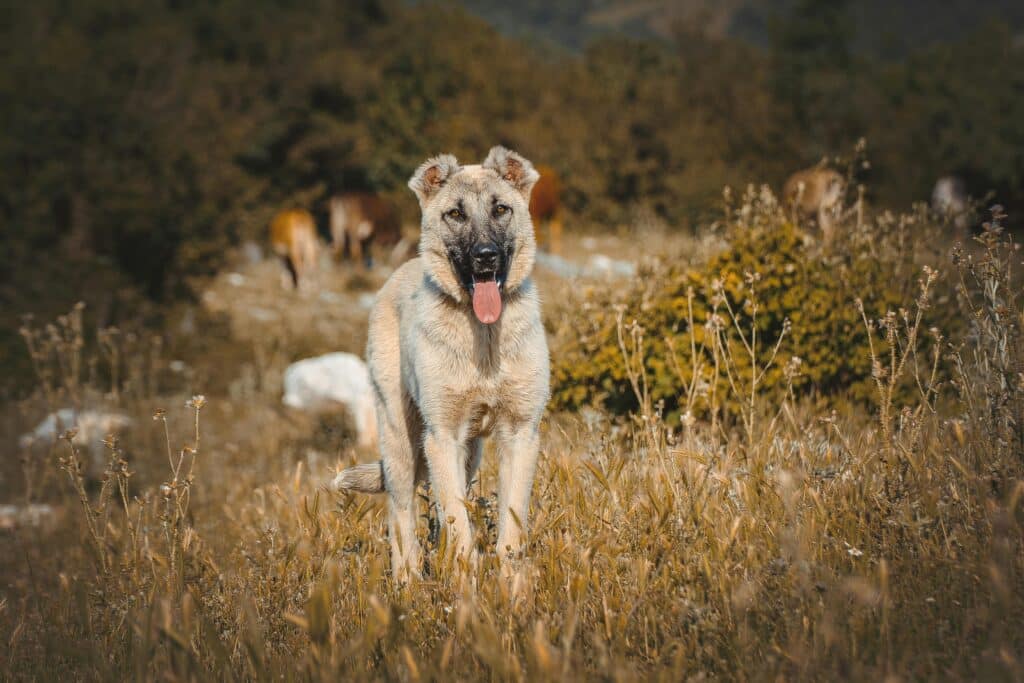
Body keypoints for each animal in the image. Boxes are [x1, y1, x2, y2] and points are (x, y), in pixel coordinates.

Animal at [331, 147, 548, 581]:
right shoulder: (442, 436)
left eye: (501, 209)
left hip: (470, 453)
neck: (484, 338)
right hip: (400, 438)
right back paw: (408, 582)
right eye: (456, 214)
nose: (486, 257)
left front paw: (512, 588)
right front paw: (466, 588)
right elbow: (458, 524)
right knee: (401, 516)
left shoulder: (519, 434)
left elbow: (510, 527)